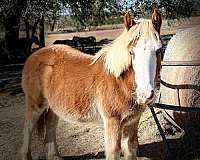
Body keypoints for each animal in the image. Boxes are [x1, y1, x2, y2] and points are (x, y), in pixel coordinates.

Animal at [19, 9, 162, 160]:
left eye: (158, 50)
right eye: (131, 52)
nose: (145, 95)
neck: (120, 83)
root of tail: (34, 56)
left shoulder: (133, 122)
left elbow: (130, 148)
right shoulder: (112, 122)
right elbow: (113, 152)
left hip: (53, 107)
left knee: (50, 126)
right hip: (35, 105)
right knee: (28, 129)